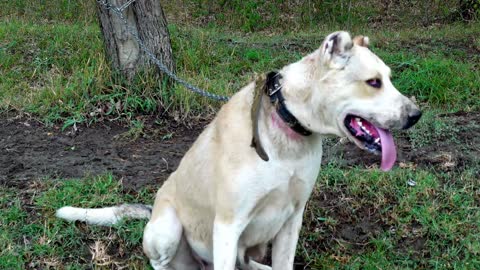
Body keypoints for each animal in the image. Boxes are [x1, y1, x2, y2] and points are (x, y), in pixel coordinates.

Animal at [58, 32, 422, 270]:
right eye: (373, 82)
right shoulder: (227, 225)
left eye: (389, 78)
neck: (286, 126)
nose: (416, 115)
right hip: (167, 232)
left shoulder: (292, 219)